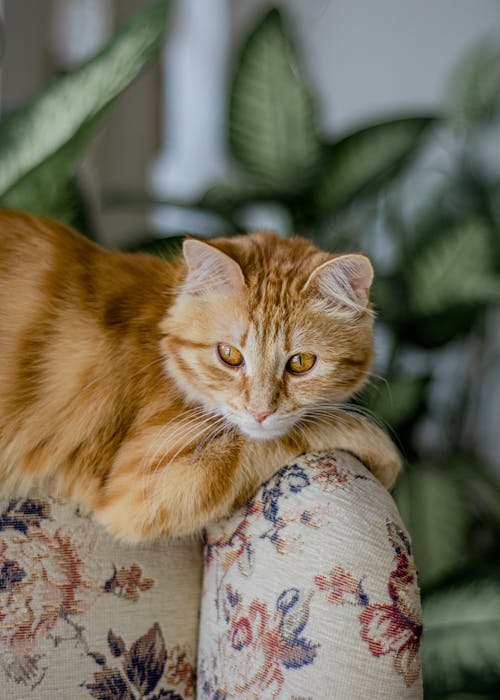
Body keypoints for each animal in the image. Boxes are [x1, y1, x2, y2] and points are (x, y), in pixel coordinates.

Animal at [0, 208, 400, 540]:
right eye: (230, 355)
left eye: (300, 362)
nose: (260, 412)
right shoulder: (143, 486)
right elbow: (292, 433)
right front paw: (379, 446)